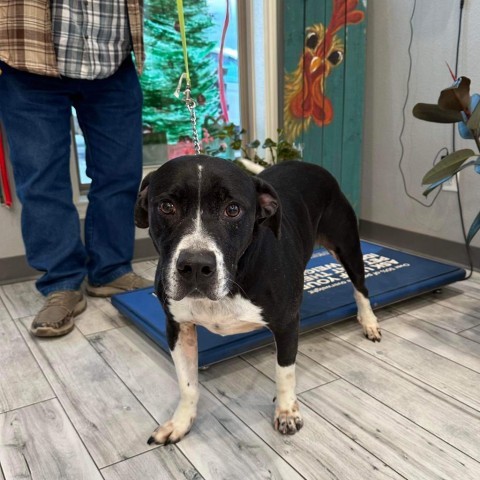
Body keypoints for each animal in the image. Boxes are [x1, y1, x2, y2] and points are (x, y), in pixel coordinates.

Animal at [133, 156, 380, 444]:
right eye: (166, 206)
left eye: (233, 209)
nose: (195, 265)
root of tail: (312, 166)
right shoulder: (177, 327)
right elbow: (187, 384)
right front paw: (181, 422)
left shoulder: (286, 325)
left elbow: (285, 372)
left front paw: (286, 412)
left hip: (347, 246)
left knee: (361, 288)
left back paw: (369, 321)